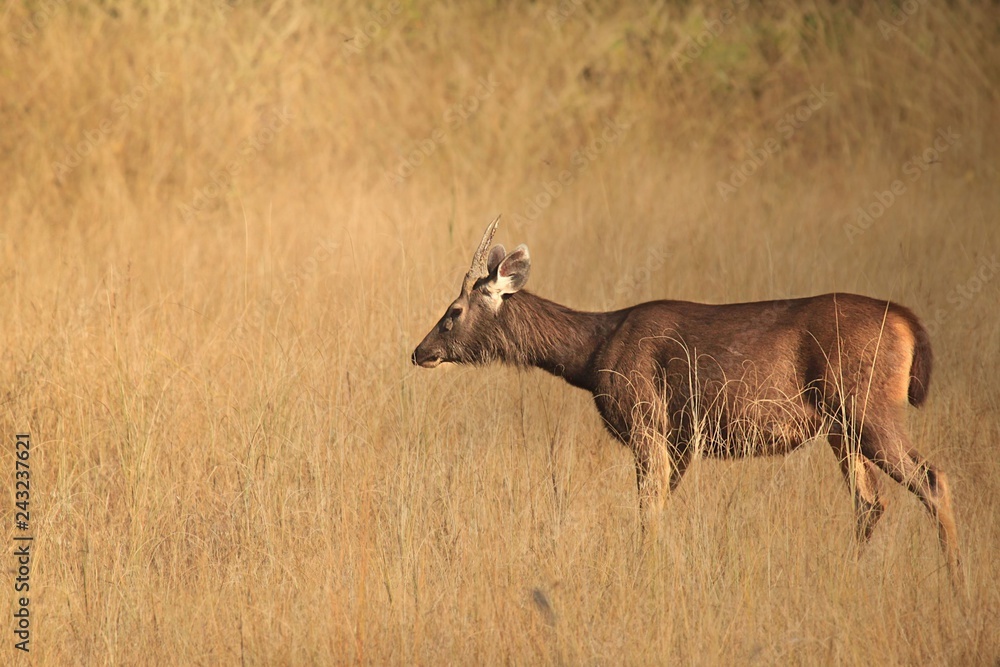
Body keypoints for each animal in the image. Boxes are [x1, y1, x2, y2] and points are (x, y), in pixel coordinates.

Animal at [412, 216, 962, 585]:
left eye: (453, 311)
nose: (420, 352)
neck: (592, 355)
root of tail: (908, 323)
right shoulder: (680, 441)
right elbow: (656, 510)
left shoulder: (647, 423)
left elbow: (646, 513)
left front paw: (645, 576)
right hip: (840, 427)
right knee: (870, 504)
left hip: (867, 408)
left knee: (932, 480)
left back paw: (956, 584)